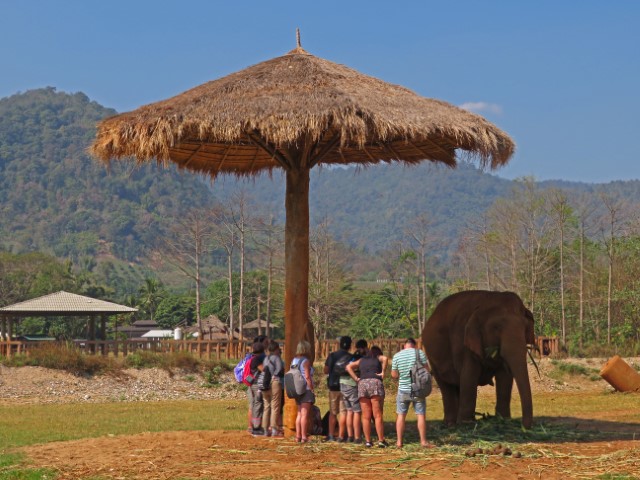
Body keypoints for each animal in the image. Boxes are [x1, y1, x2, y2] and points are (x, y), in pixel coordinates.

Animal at [420, 290, 536, 430]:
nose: (525, 427)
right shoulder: (463, 343)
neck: (487, 300)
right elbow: (469, 375)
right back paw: (451, 424)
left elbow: (505, 378)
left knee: (458, 385)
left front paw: (503, 420)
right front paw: (466, 424)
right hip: (431, 356)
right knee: (445, 385)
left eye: (525, 327)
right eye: (496, 327)